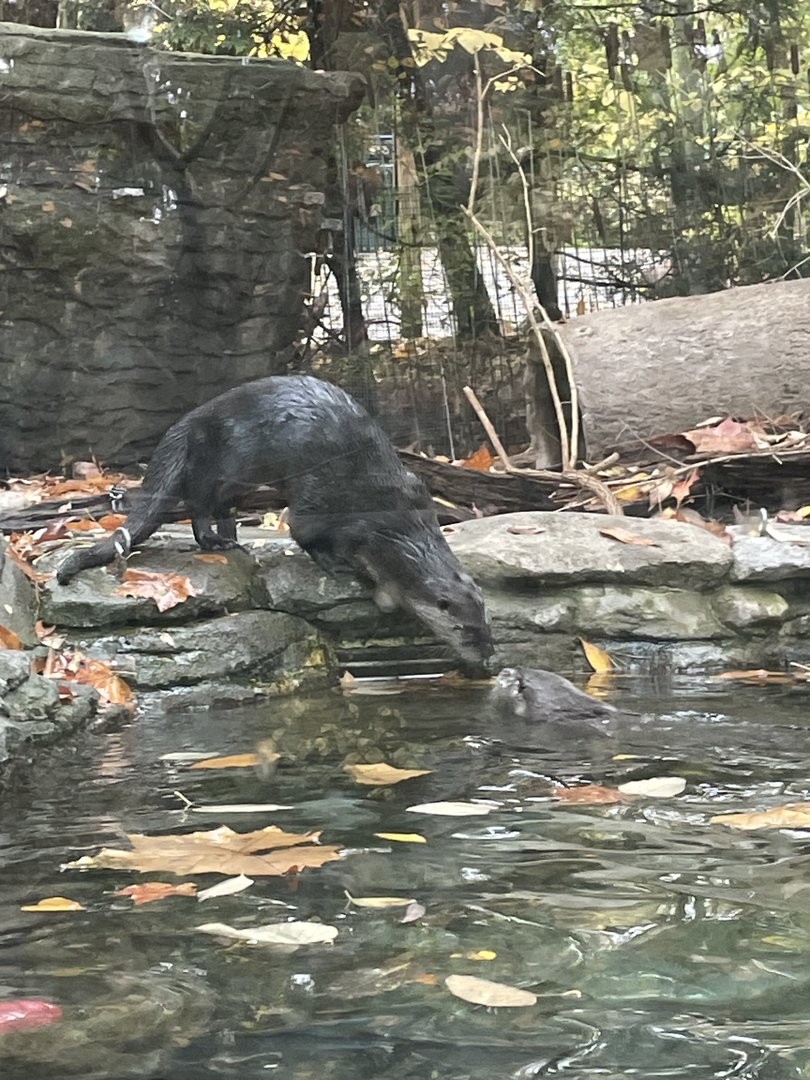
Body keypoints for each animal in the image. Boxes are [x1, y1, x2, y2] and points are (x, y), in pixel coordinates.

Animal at [56, 375, 493, 671]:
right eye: (463, 629)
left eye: (486, 621)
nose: (489, 656)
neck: (395, 525)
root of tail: (189, 421)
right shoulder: (324, 502)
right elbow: (305, 533)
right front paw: (341, 568)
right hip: (225, 463)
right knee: (199, 499)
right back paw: (213, 540)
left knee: (220, 504)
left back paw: (231, 537)